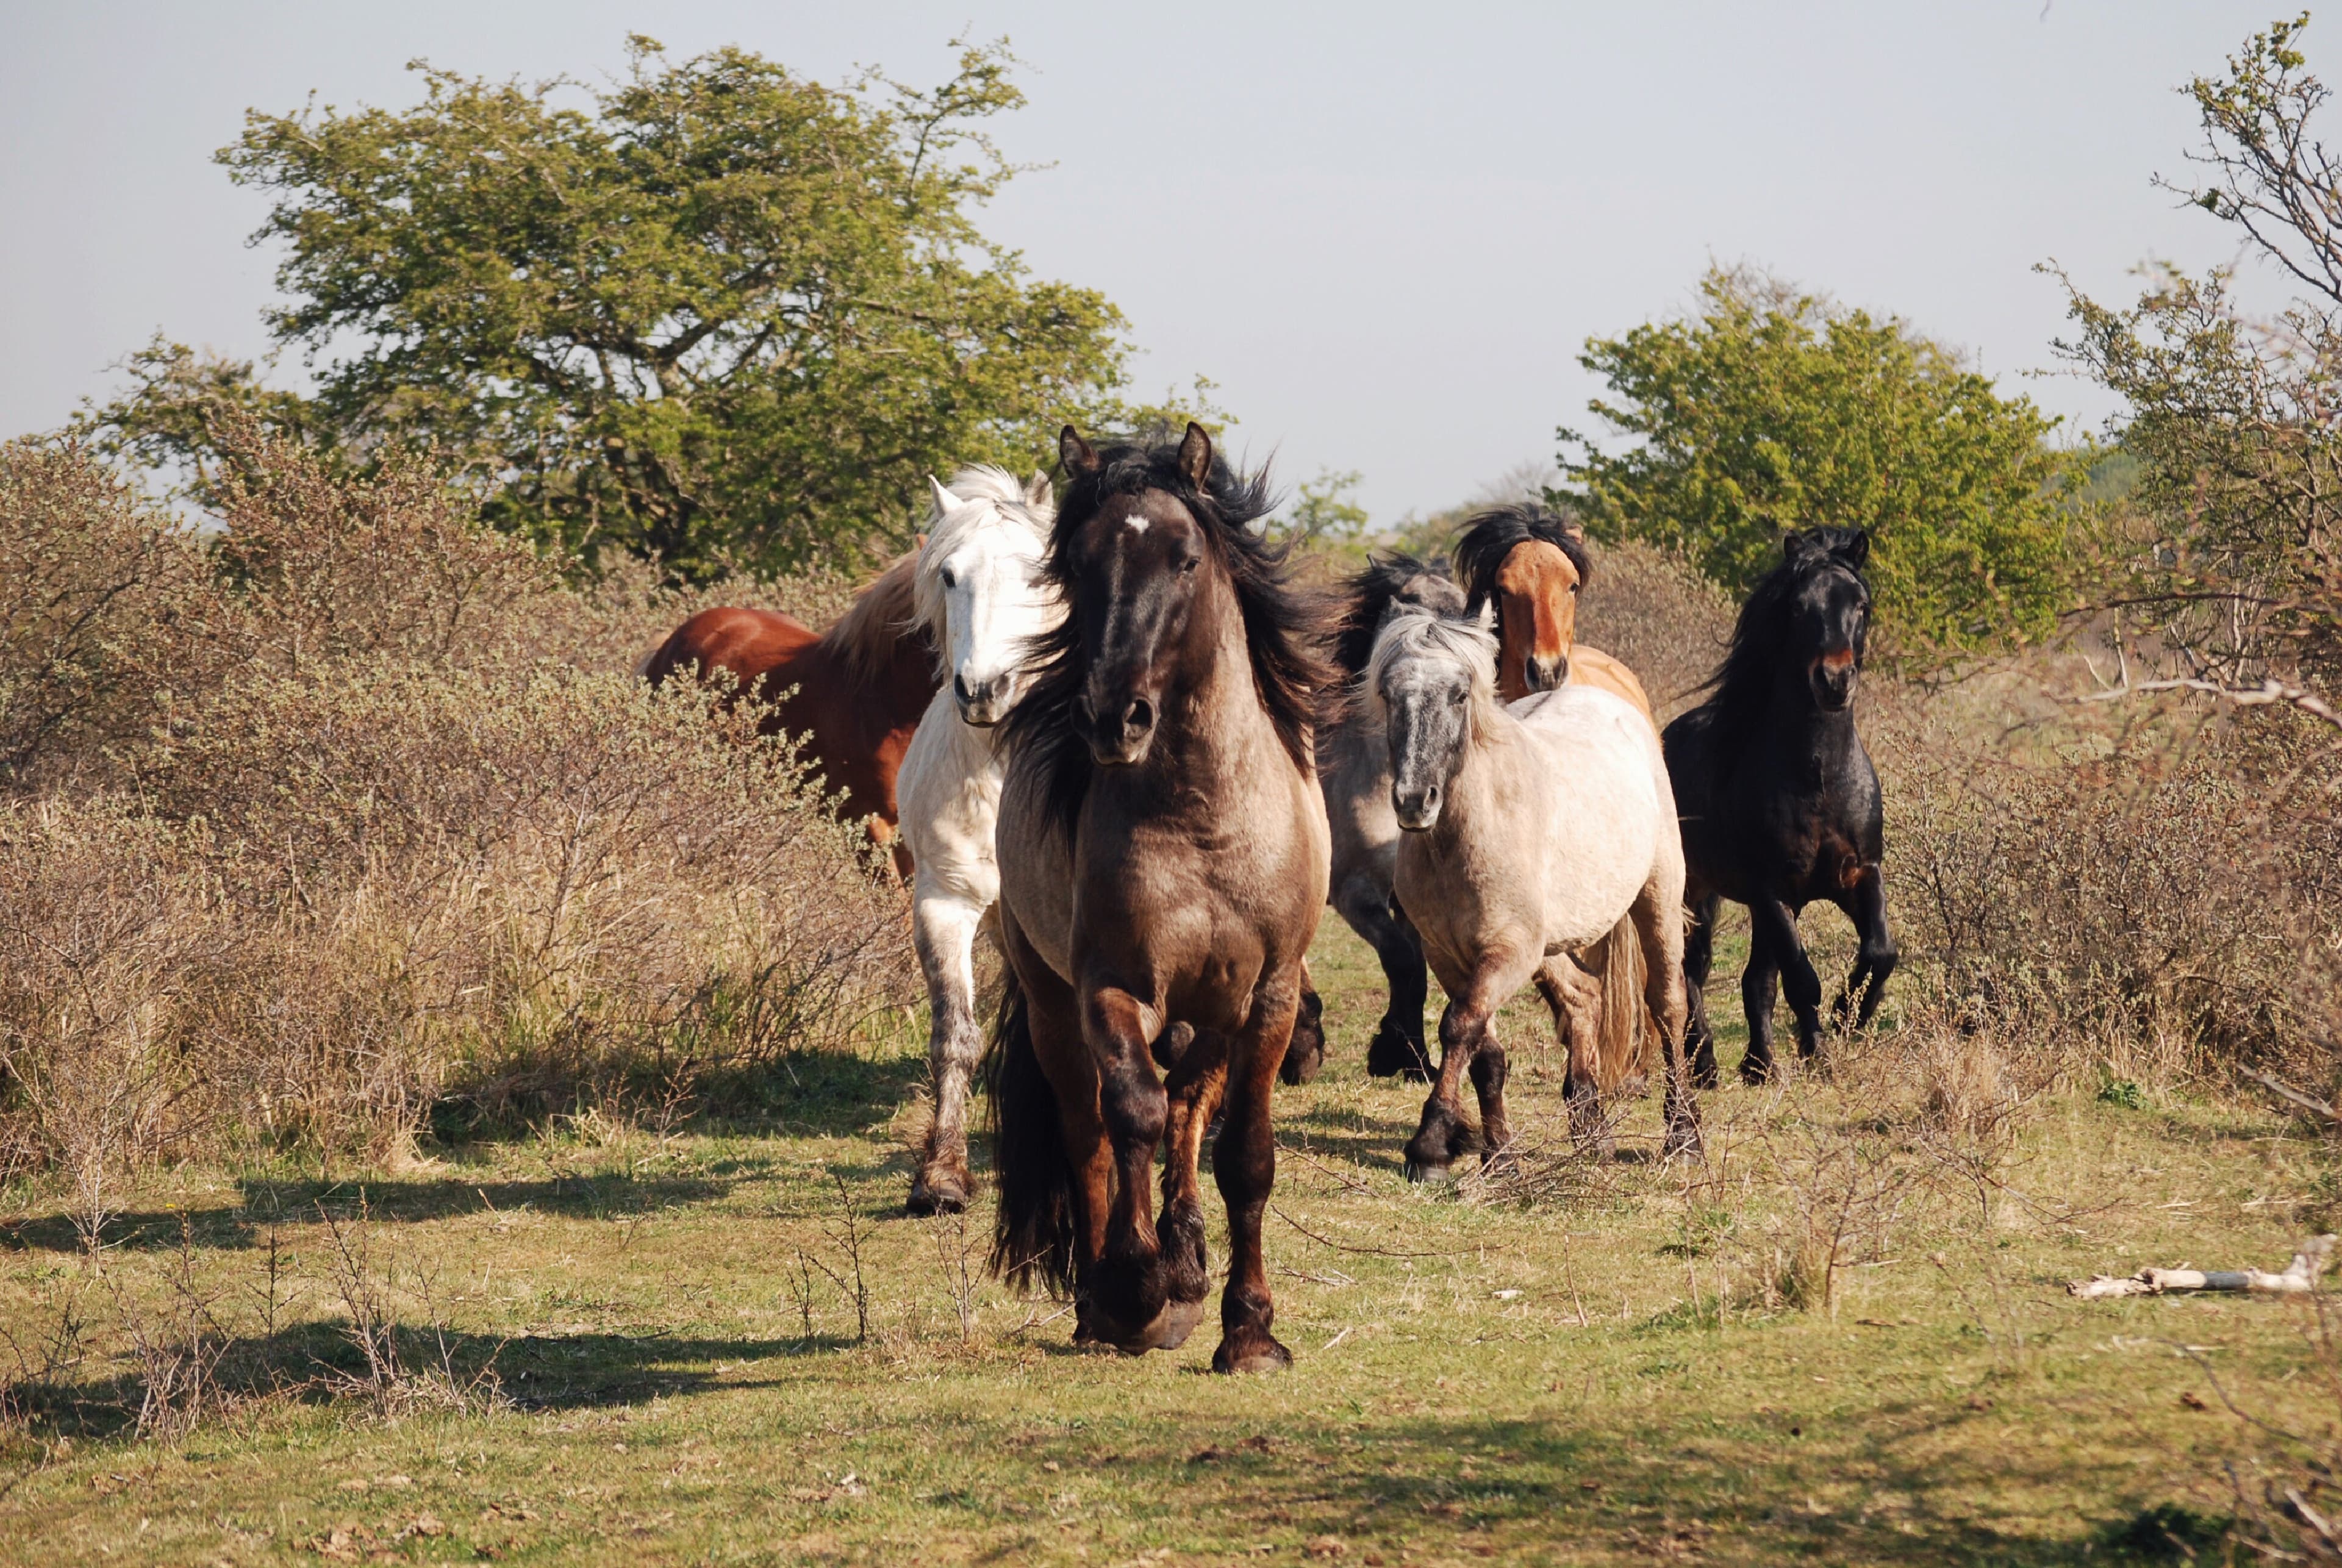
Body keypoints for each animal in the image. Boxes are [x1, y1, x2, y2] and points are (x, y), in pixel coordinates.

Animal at [988, 422, 1331, 1372]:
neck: (1202, 817)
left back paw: (1185, 1263)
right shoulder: (1110, 987)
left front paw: (1248, 1330)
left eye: (1185, 559)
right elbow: (1129, 1115)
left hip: (1213, 1010)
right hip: (1051, 1003)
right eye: (1079, 563)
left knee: (1189, 1107)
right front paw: (1131, 1288)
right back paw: (1110, 1299)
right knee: (1093, 1129)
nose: (1116, 718)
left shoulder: (1269, 995)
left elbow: (1243, 1153)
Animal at [1307, 553, 1468, 1080]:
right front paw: (1397, 1052)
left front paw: (1412, 1057)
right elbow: (1404, 963)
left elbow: (1415, 966)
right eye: (1414, 606)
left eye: (1467, 607)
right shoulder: (1356, 893)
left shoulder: (1410, 897)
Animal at [1370, 605, 1701, 1178]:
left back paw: (1682, 1134)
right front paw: (1499, 1155)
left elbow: (1459, 1027)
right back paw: (1591, 1128)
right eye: (1389, 694)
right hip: (1549, 944)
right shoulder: (1450, 955)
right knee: (1585, 997)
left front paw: (1431, 1143)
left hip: (1655, 897)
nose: (1414, 801)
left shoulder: (1506, 952)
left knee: (1667, 1006)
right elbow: (1484, 1051)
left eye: (1460, 694)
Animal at [1661, 526, 1896, 1085]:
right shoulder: (1773, 891)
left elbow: (1880, 951)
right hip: (1693, 891)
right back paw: (1706, 1064)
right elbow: (1801, 978)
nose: (1834, 681)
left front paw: (1848, 1017)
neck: (1820, 779)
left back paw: (1760, 1063)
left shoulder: (1859, 875)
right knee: (1690, 971)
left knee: (1752, 978)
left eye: (1862, 604)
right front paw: (1820, 1046)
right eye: (1798, 607)